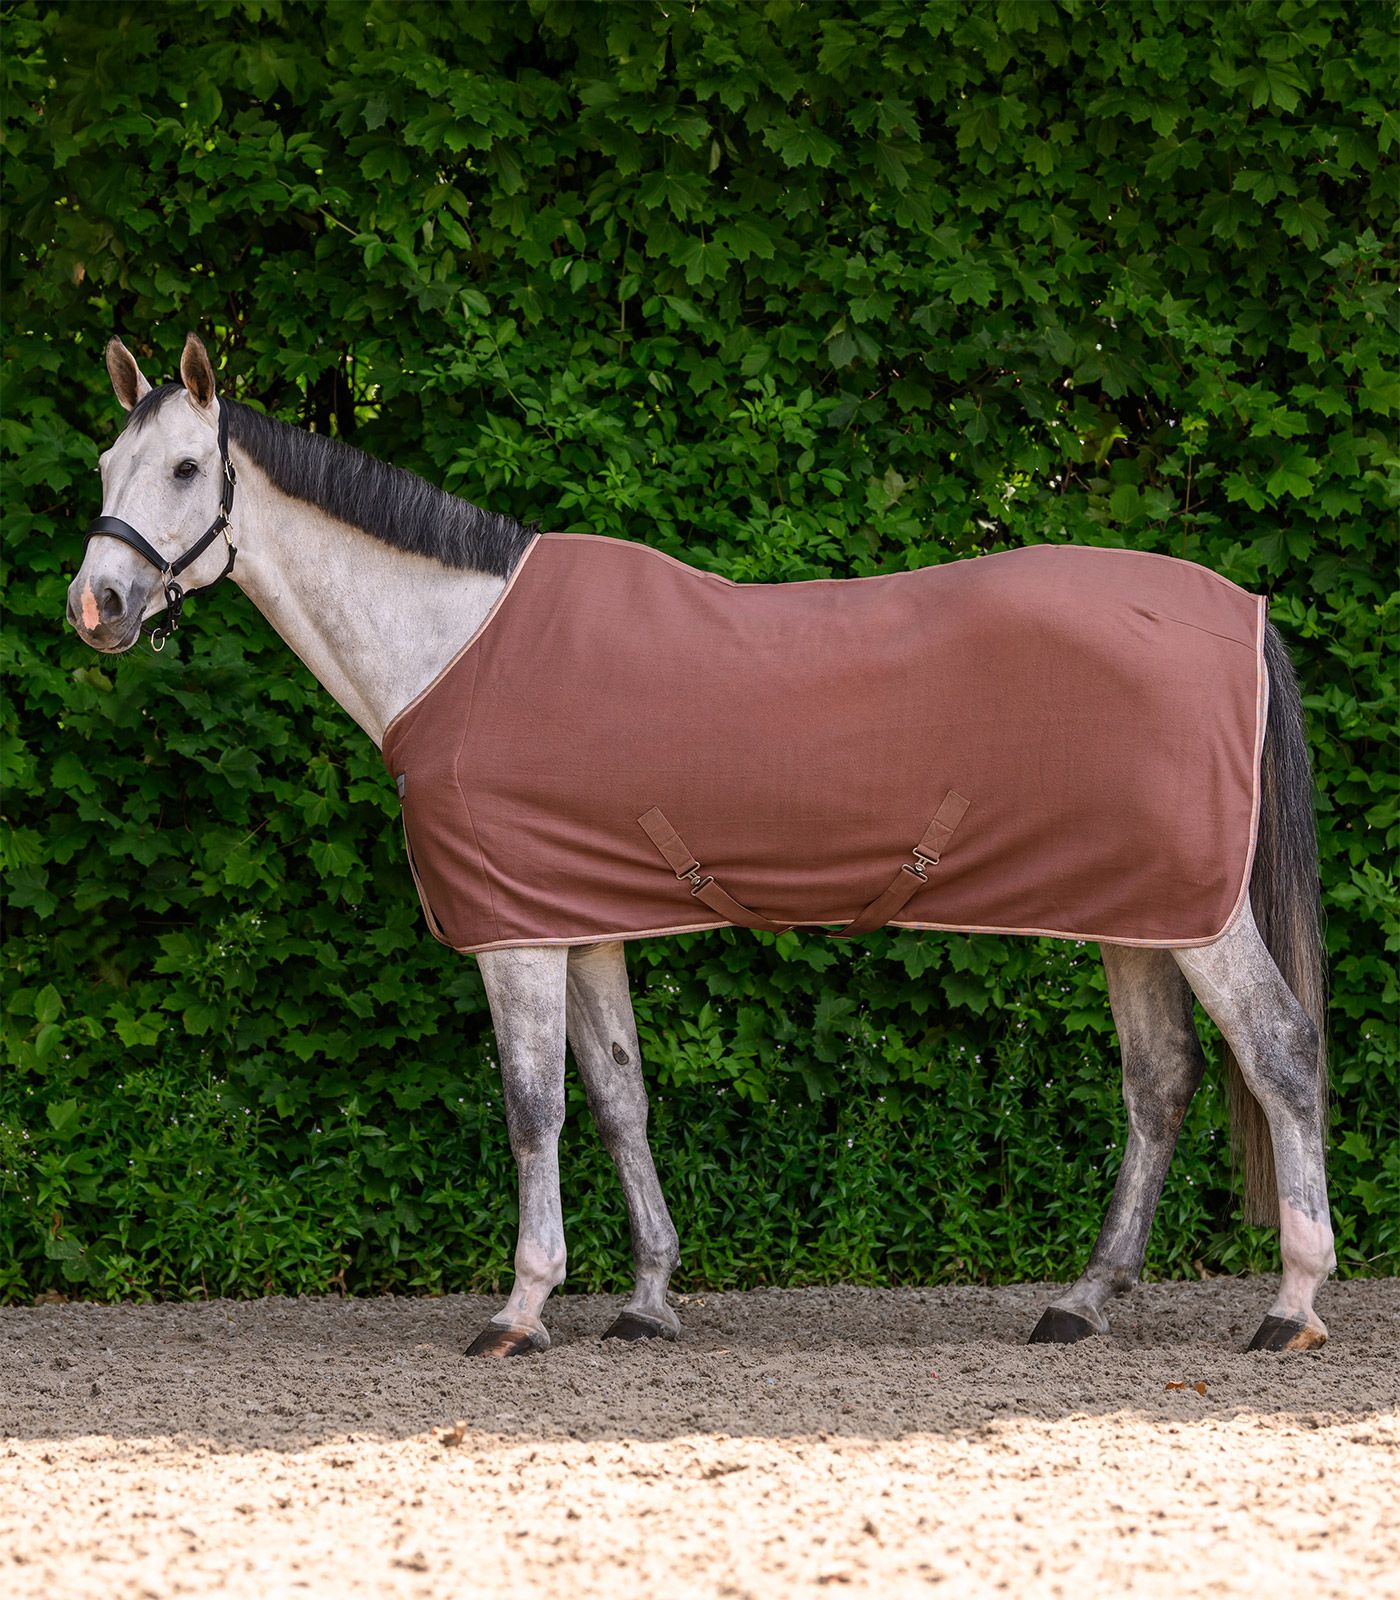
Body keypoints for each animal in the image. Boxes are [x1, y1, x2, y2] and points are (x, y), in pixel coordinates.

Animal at [65, 334, 1335, 1356]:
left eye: (185, 469)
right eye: (103, 469)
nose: (98, 607)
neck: (456, 643)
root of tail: (1243, 610)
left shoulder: (515, 936)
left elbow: (532, 1107)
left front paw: (520, 1310)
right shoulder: (578, 921)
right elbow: (618, 1097)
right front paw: (645, 1300)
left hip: (1200, 918)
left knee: (1278, 1051)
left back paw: (1290, 1304)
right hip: (1136, 915)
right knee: (1158, 1083)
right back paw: (1080, 1299)